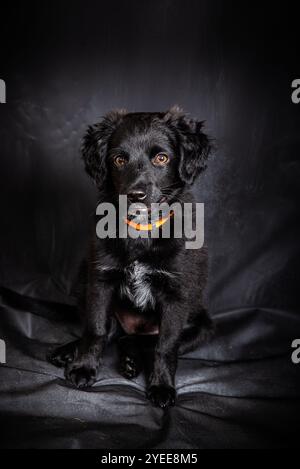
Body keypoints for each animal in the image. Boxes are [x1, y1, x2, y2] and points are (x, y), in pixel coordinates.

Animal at [49, 106, 213, 406]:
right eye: (119, 159)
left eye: (162, 158)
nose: (136, 194)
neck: (141, 230)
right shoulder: (99, 280)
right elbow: (95, 329)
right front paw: (83, 367)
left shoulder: (176, 296)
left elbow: (165, 346)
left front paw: (161, 386)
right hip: (82, 280)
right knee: (112, 332)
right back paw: (71, 351)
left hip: (201, 325)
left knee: (138, 341)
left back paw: (130, 361)